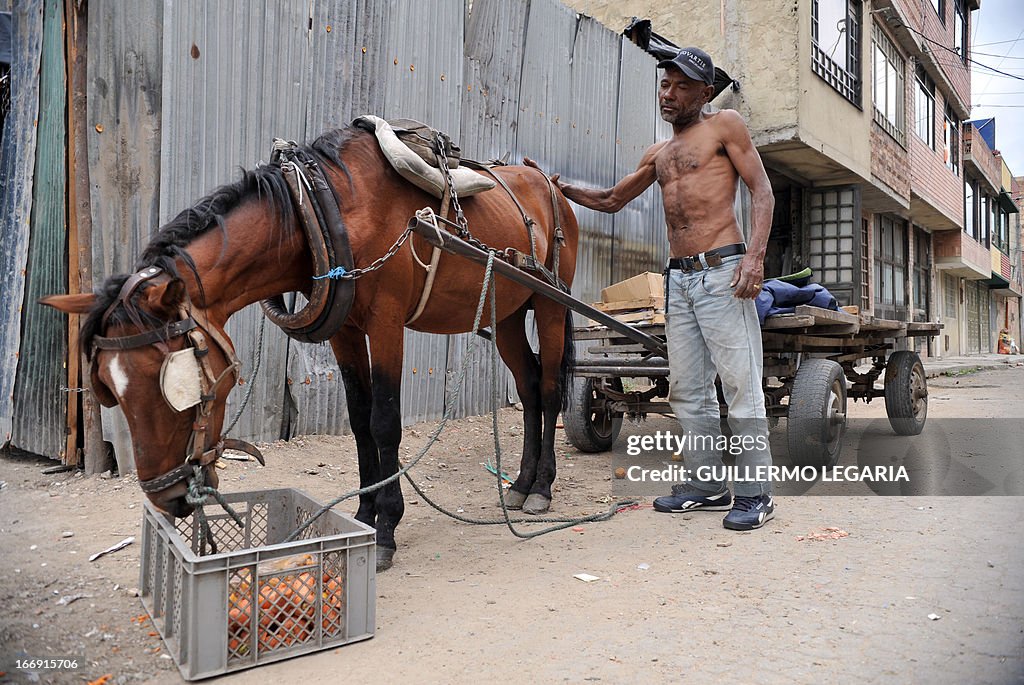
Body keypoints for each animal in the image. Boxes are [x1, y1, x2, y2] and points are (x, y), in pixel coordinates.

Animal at [44, 125, 581, 569]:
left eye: (175, 386)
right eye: (109, 388)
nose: (169, 498)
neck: (325, 213)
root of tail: (550, 184)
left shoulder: (386, 324)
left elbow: (385, 423)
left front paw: (387, 529)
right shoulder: (345, 333)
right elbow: (360, 421)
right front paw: (365, 512)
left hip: (551, 305)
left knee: (550, 390)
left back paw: (542, 488)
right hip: (507, 313)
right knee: (528, 388)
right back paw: (520, 483)